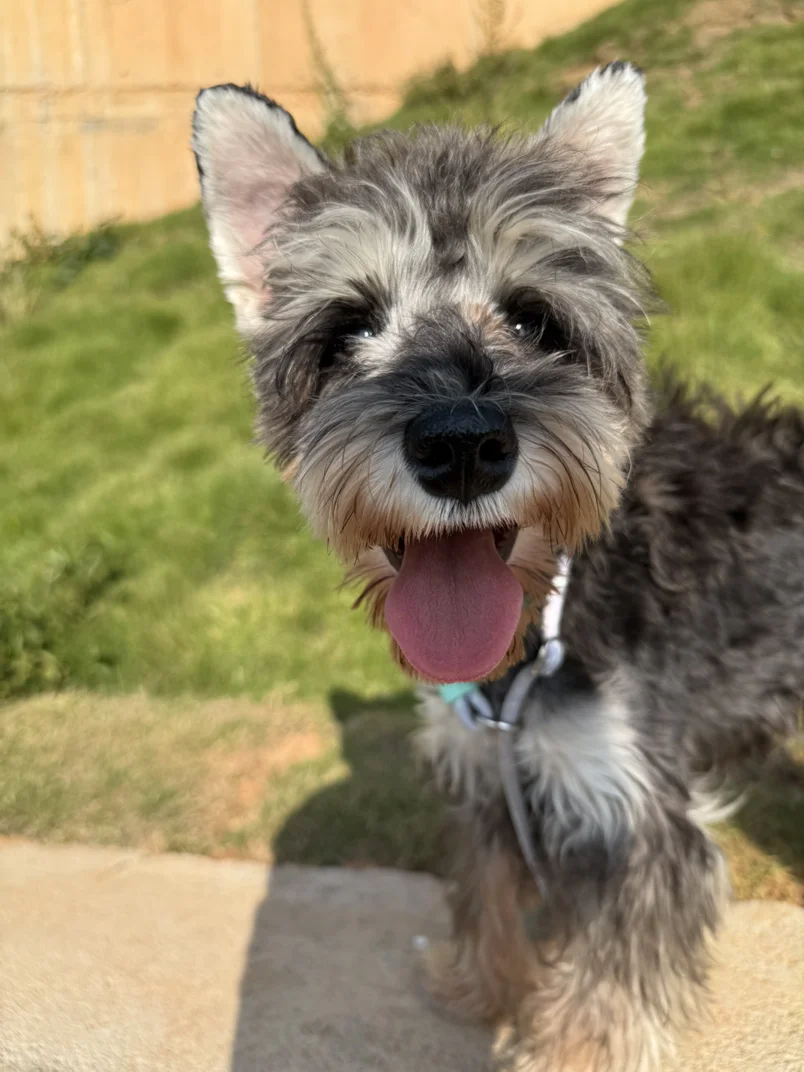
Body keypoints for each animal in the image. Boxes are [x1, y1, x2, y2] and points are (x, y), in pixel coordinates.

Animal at [192, 64, 804, 1071]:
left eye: (533, 316)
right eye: (348, 328)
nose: (462, 446)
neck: (548, 607)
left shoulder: (634, 816)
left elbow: (609, 989)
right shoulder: (489, 776)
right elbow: (487, 896)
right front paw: (480, 987)